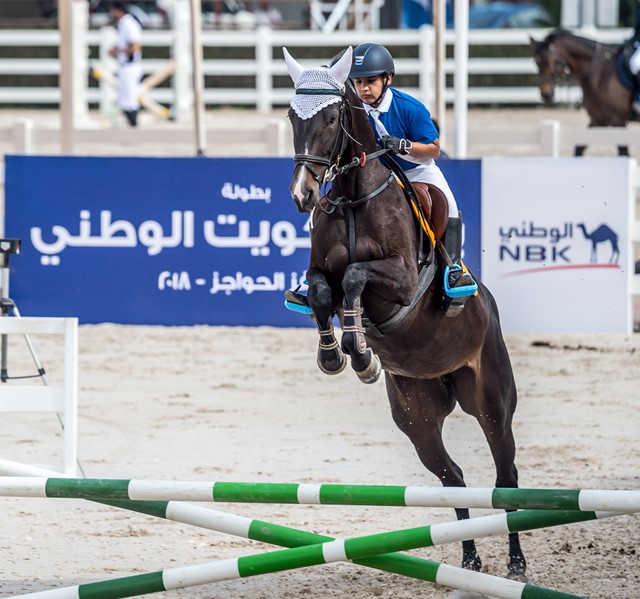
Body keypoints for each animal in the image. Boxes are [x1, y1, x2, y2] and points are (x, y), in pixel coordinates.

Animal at [283, 46, 527, 578]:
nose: (303, 196)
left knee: (506, 474)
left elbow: (355, 278)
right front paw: (337, 355)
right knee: (452, 475)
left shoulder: (398, 281)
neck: (353, 194)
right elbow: (322, 293)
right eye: (292, 116)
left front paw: (359, 353)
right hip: (416, 415)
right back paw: (468, 555)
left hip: (491, 400)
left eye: (331, 118)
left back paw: (516, 562)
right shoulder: (318, 272)